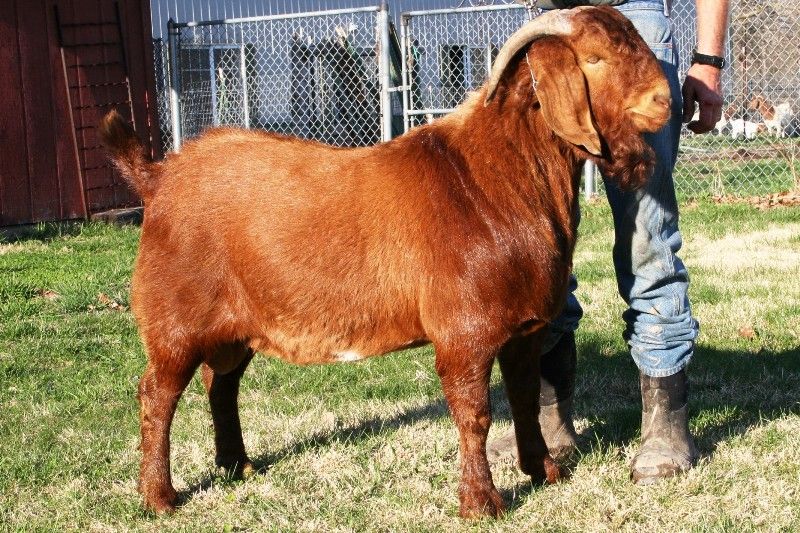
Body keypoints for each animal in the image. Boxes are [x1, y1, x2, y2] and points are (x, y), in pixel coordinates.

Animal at [101, 6, 670, 519]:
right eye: (594, 58)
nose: (664, 99)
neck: (496, 174)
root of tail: (158, 176)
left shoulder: (527, 328)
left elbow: (526, 397)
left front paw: (543, 471)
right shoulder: (464, 331)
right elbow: (475, 414)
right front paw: (481, 504)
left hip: (236, 327)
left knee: (221, 384)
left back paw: (237, 465)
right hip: (176, 320)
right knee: (156, 395)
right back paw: (159, 497)